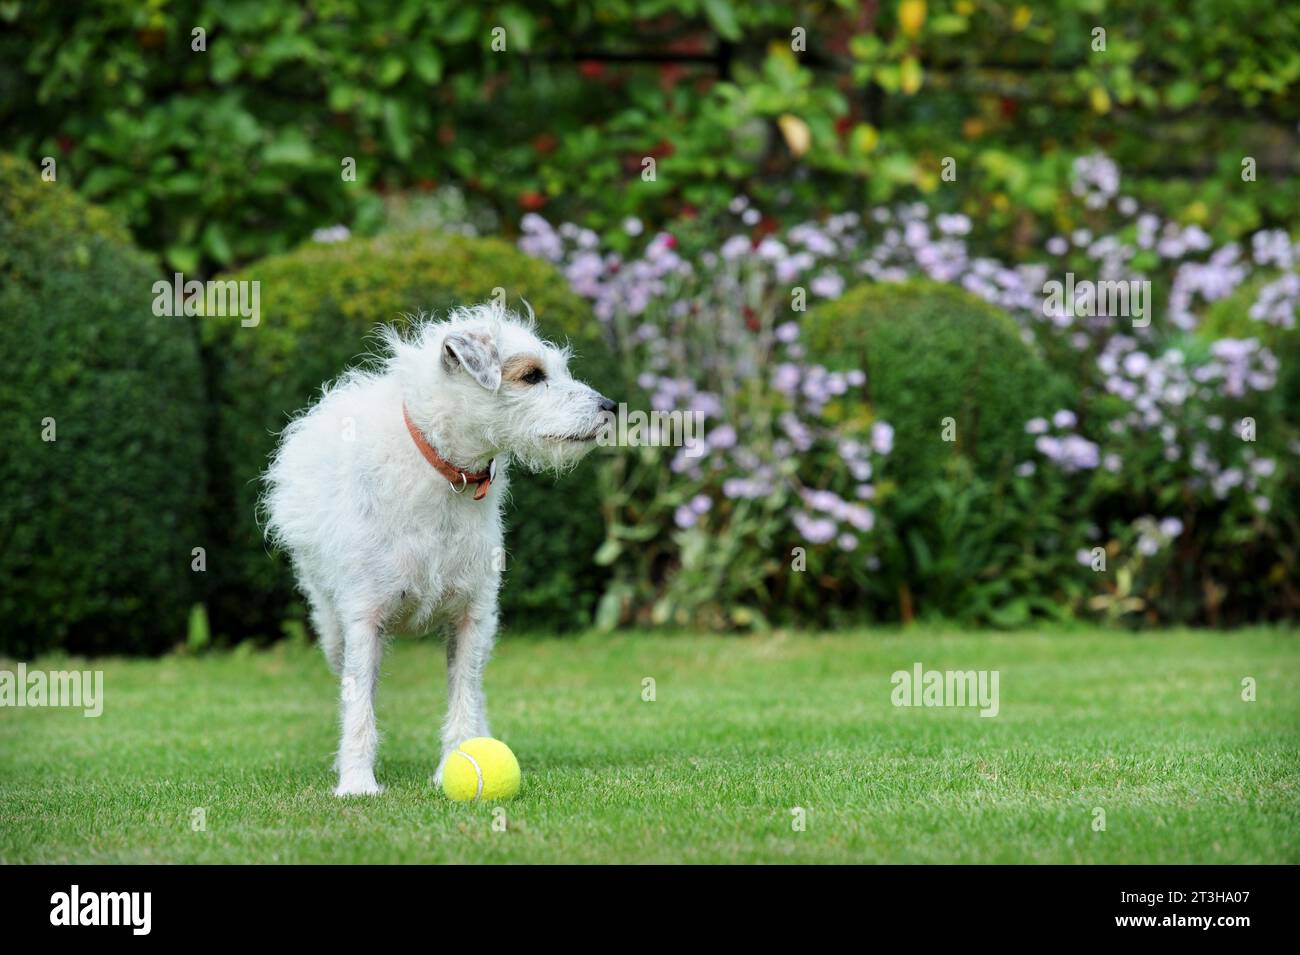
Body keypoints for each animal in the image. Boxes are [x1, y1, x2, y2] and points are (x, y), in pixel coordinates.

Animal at [262, 306, 613, 800]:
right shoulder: (363, 620)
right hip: (331, 626)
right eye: (531, 376)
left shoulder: (471, 619)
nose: (610, 407)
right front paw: (357, 783)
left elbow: (464, 696)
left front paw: (455, 760)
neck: (447, 476)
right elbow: (359, 709)